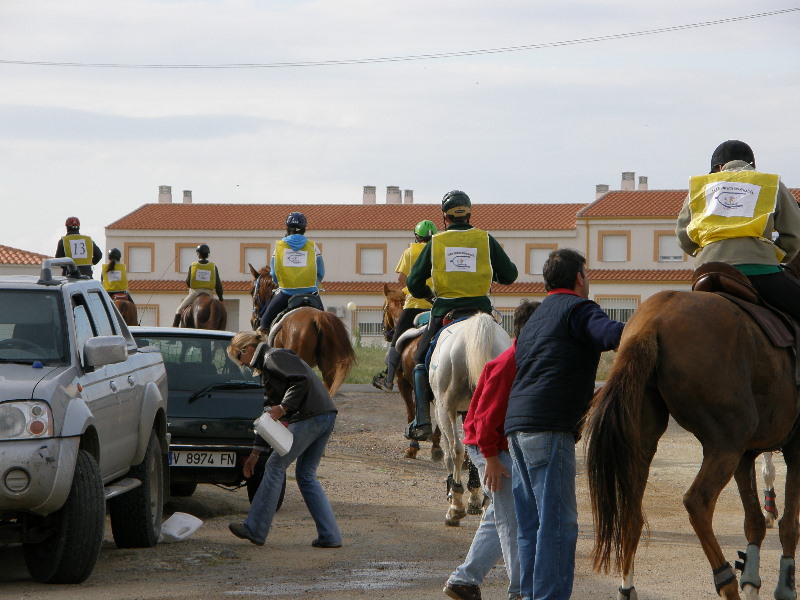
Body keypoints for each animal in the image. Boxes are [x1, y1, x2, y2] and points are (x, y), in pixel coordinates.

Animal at [432, 312, 512, 528]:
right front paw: (475, 499)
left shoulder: (442, 411)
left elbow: (453, 453)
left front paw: (457, 501)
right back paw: (487, 502)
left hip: (446, 408)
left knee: (456, 450)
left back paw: (456, 506)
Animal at [580, 288, 800, 596]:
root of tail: (653, 322)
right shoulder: (788, 449)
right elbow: (789, 524)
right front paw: (783, 588)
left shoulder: (747, 455)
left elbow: (754, 522)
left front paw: (753, 583)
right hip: (725, 444)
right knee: (698, 502)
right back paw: (727, 583)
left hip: (645, 442)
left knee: (631, 515)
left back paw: (628, 589)